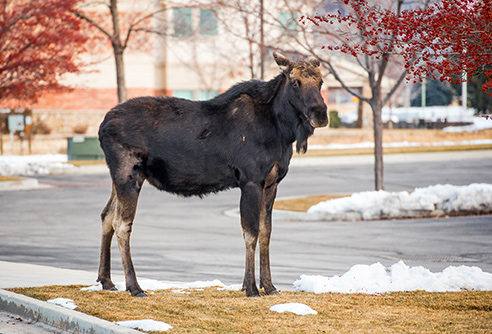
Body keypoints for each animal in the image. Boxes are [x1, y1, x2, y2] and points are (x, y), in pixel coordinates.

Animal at [97, 51, 326, 298]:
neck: (281, 130)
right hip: (129, 173)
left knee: (106, 215)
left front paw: (270, 286)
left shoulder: (272, 183)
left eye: (321, 82)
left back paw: (106, 280)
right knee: (122, 223)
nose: (321, 114)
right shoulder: (251, 180)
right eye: (295, 82)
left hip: (118, 178)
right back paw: (134, 287)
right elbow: (251, 232)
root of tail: (101, 127)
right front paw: (251, 288)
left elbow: (266, 232)